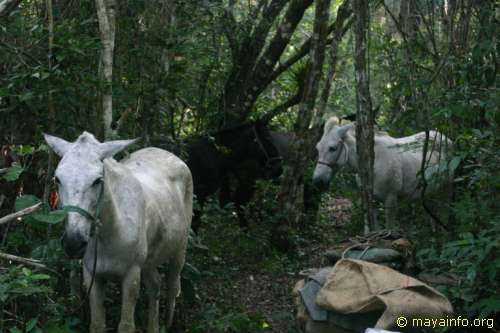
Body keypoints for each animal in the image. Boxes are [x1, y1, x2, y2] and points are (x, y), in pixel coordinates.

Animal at [44, 132, 192, 332]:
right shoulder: (92, 276)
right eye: (57, 179)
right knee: (155, 286)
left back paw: (168, 324)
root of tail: (169, 154)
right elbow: (97, 324)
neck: (110, 232)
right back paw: (153, 327)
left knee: (173, 287)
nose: (73, 243)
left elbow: (126, 326)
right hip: (150, 259)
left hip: (179, 250)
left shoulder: (131, 276)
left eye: (97, 181)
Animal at [312, 116, 450, 228]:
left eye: (333, 148)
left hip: (445, 189)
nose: (317, 181)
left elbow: (389, 230)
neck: (372, 163)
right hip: (431, 193)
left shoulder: (391, 199)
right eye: (317, 148)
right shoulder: (370, 200)